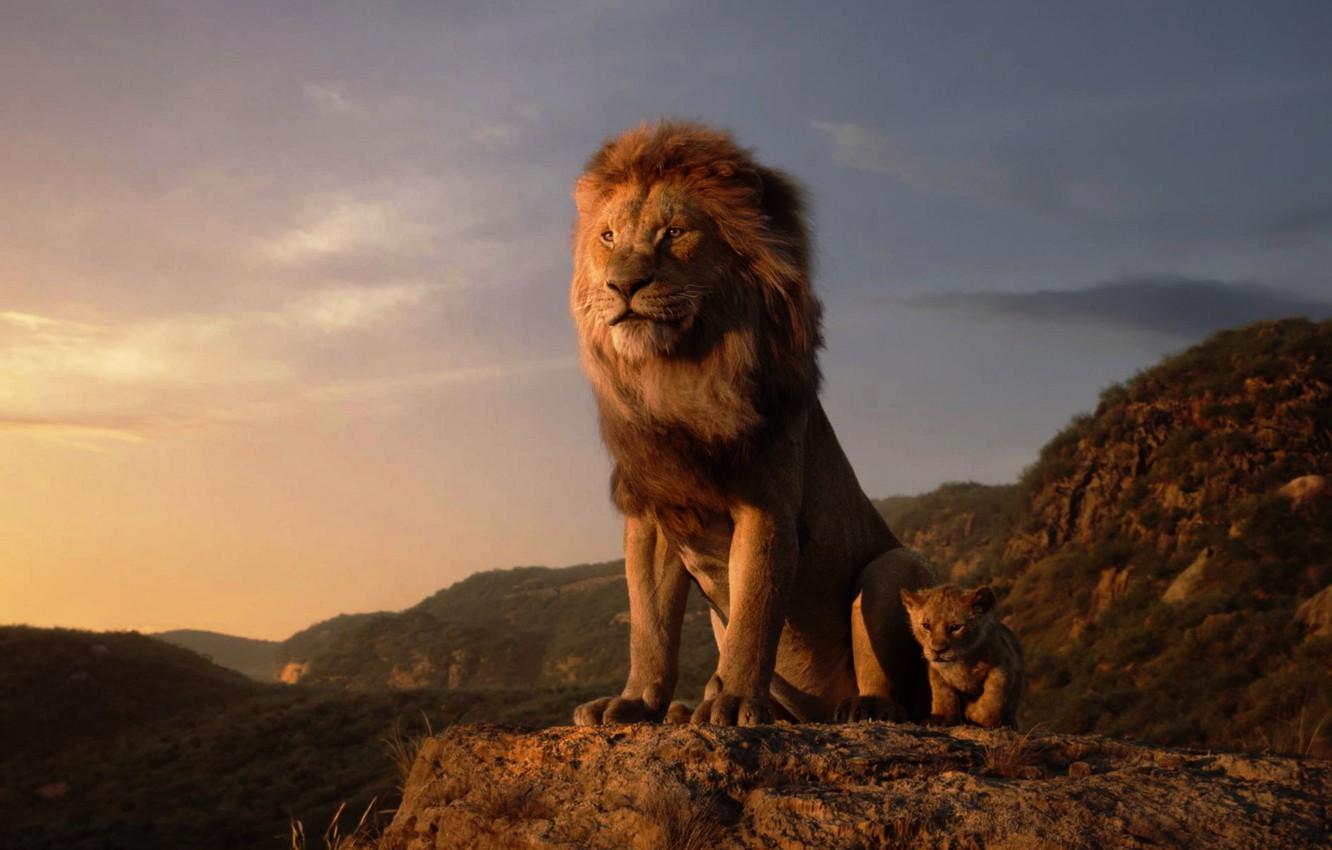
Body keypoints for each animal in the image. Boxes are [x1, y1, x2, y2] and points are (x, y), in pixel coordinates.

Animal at [569, 121, 938, 726]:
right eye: (607, 237)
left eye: (674, 232)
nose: (623, 285)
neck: (676, 375)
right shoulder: (653, 513)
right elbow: (649, 626)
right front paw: (635, 702)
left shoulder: (767, 506)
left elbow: (755, 613)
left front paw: (736, 701)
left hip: (893, 566)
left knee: (900, 693)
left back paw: (862, 707)